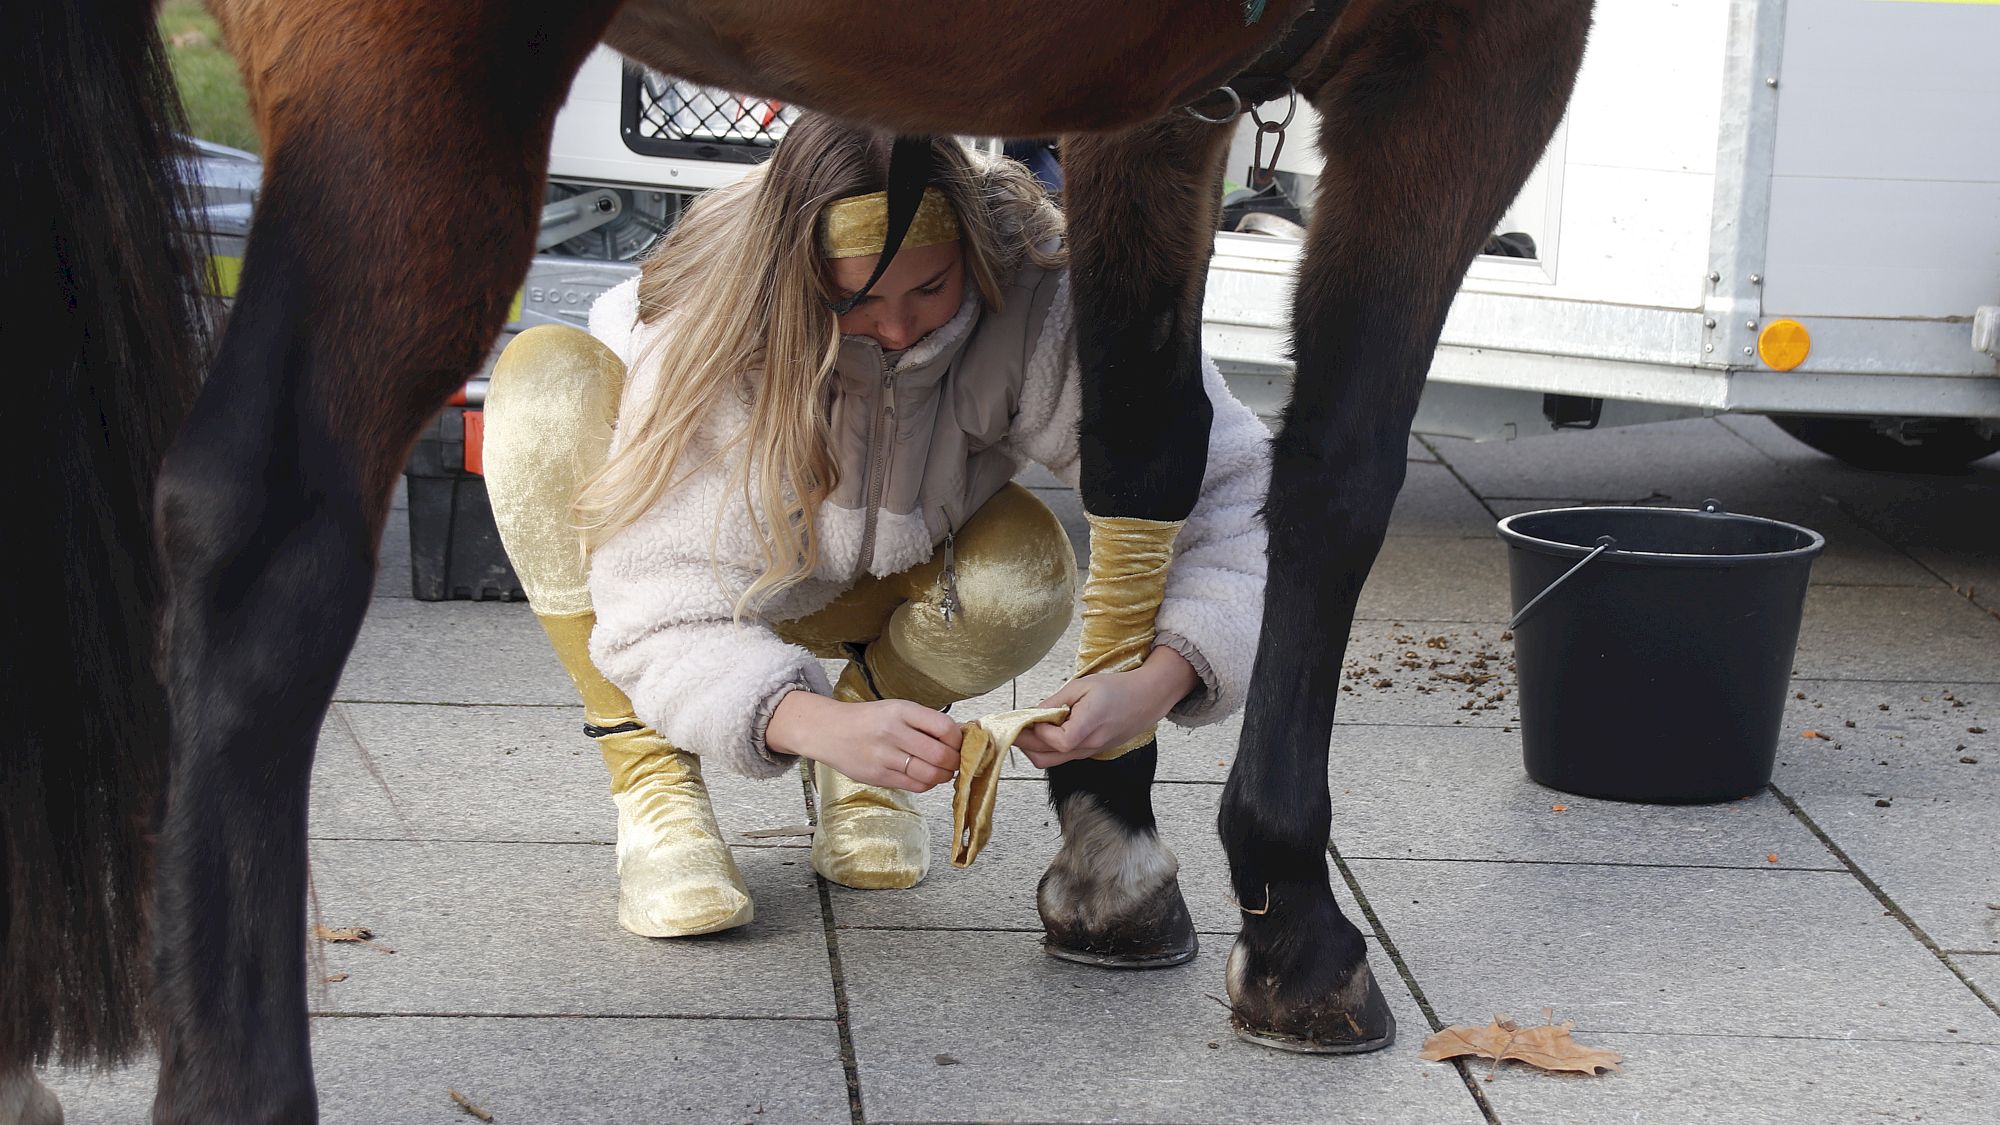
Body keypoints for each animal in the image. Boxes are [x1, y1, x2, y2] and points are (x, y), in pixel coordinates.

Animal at [3, 0, 1592, 1112]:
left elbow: (1154, 443)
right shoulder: (1470, 53)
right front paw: (1296, 927)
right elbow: (1336, 474)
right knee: (266, 524)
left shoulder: (1145, 103)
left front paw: (1107, 819)